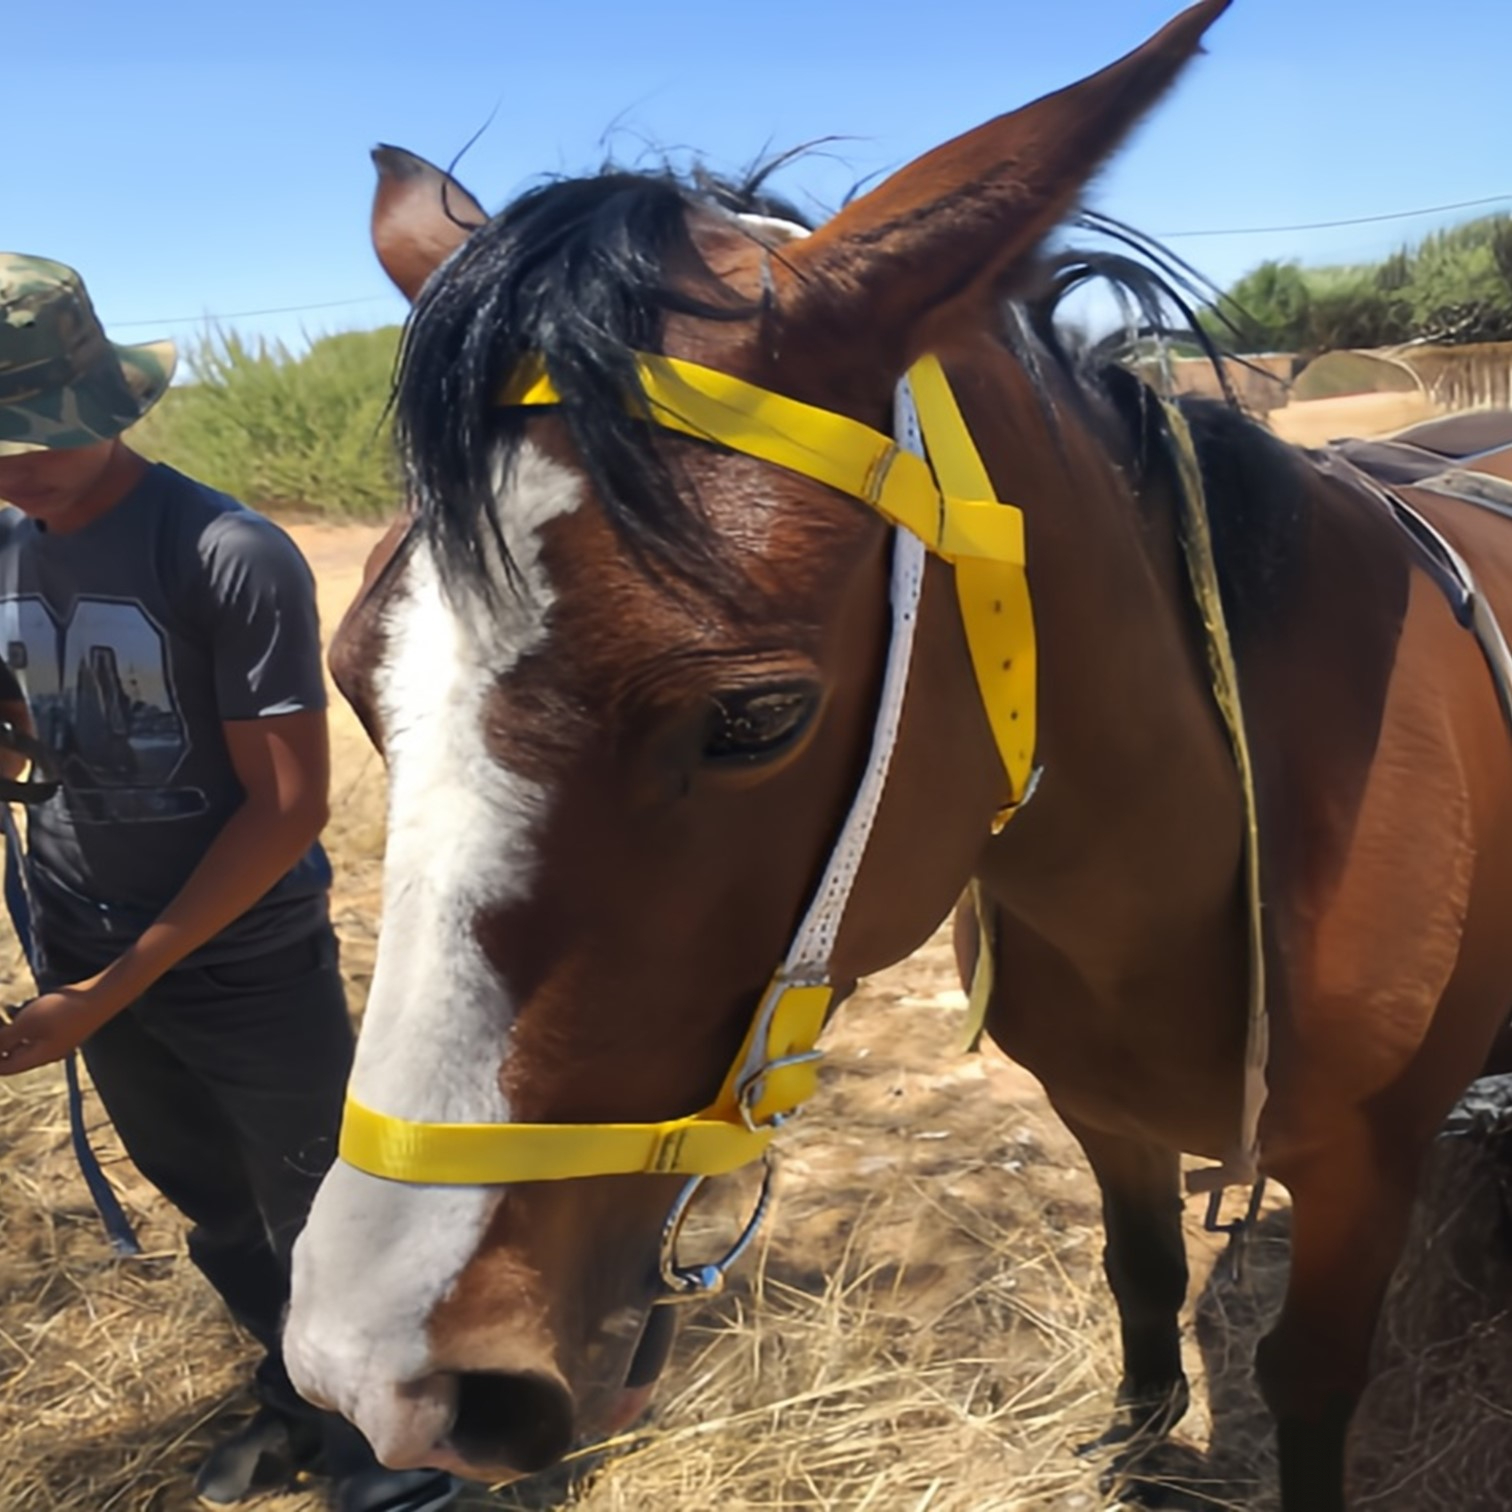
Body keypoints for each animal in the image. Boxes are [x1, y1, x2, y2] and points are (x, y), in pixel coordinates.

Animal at [281, 5, 1512, 1505]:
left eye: (757, 719)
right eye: (355, 684)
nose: (376, 1375)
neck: (1210, 862)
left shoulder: (1364, 1172)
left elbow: (1313, 1379)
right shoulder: (1102, 1115)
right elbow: (1143, 1276)